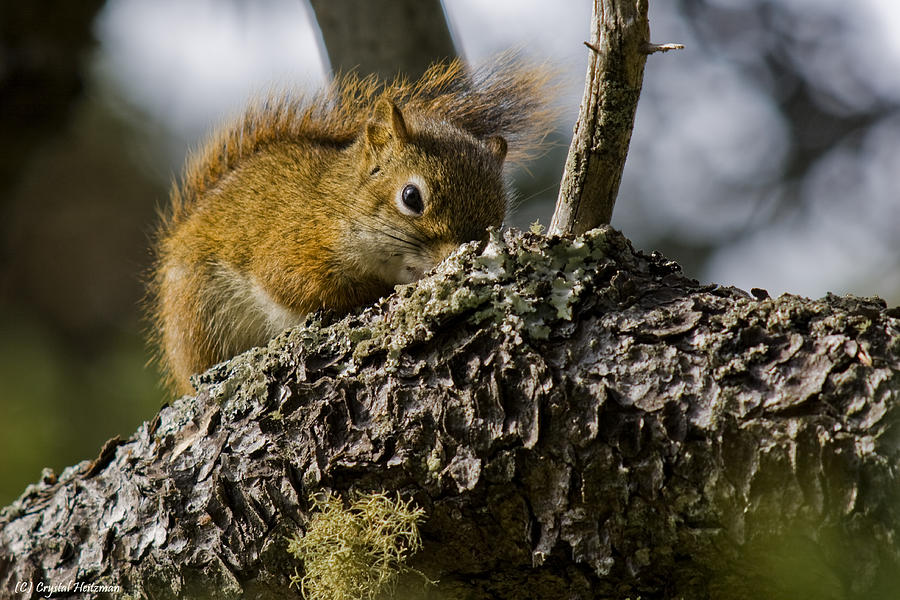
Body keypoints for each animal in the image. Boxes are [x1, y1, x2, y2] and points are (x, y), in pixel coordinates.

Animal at [149, 55, 556, 394]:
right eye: (411, 197)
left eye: (497, 219)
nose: (455, 255)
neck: (338, 205)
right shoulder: (294, 244)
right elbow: (296, 283)